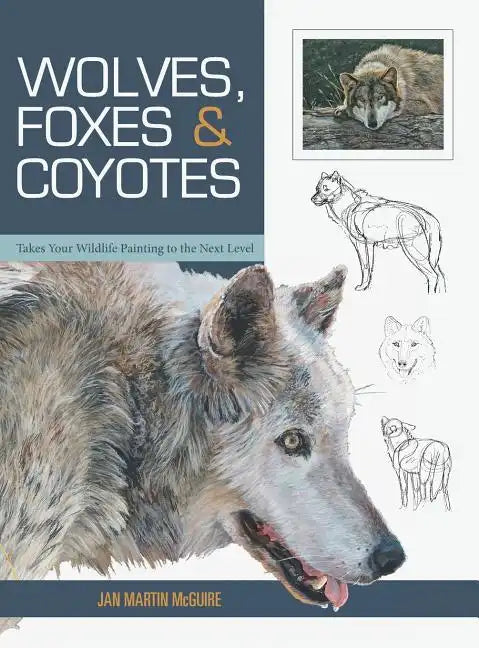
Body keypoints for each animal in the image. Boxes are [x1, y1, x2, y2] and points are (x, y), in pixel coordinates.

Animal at [311, 171, 446, 293]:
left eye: (326, 188)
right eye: (317, 188)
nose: (312, 199)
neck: (350, 205)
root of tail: (427, 217)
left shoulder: (362, 244)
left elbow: (365, 267)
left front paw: (363, 287)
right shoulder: (370, 244)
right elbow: (369, 267)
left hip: (415, 253)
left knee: (433, 276)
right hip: (431, 258)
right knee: (441, 276)